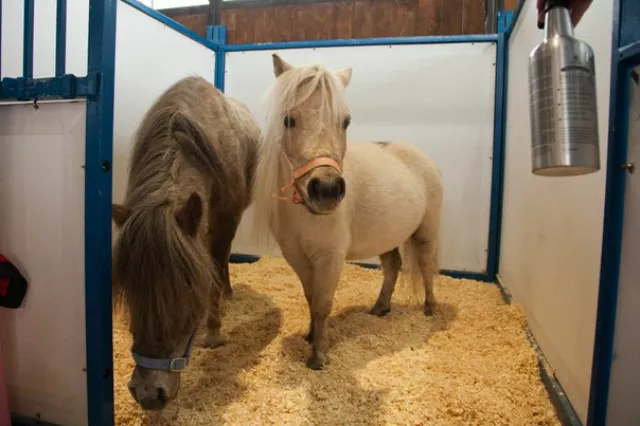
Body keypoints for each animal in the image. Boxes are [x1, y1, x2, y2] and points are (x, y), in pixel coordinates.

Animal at [111, 75, 261, 410]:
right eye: (131, 292)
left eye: (185, 294)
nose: (148, 394)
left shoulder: (225, 219)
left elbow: (215, 266)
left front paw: (214, 332)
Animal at [250, 54, 444, 370]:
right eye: (288, 119)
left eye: (345, 121)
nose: (327, 190)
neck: (304, 213)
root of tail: (422, 158)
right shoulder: (297, 256)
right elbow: (310, 297)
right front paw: (310, 336)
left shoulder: (330, 257)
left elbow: (322, 303)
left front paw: (318, 355)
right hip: (387, 237)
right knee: (393, 266)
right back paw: (380, 307)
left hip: (425, 232)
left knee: (426, 266)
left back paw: (429, 308)